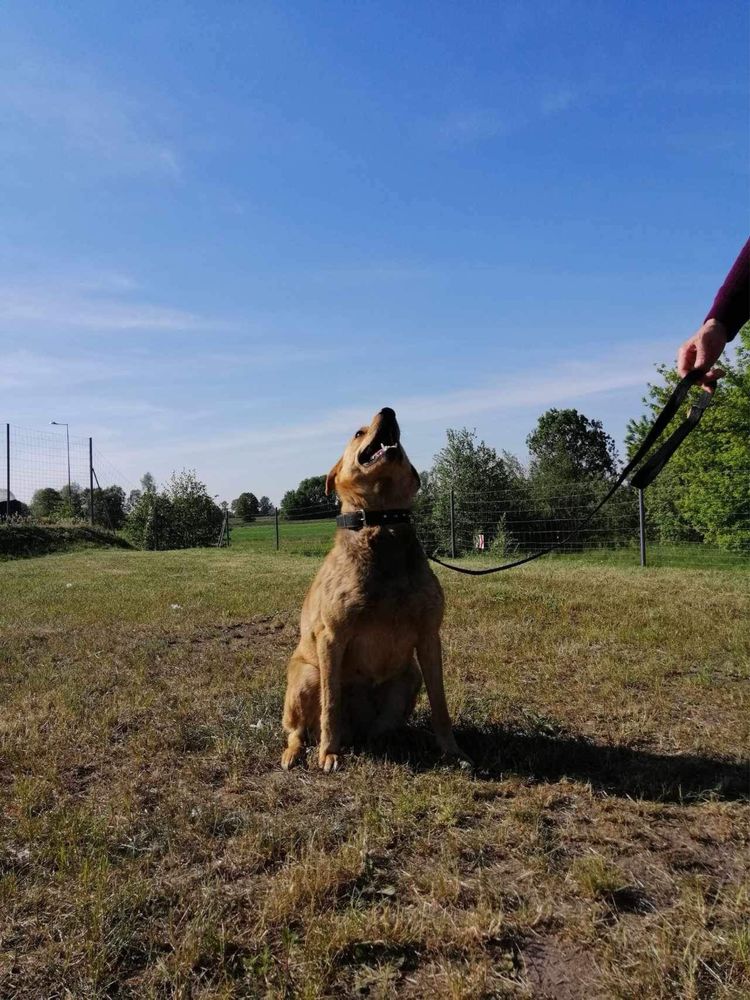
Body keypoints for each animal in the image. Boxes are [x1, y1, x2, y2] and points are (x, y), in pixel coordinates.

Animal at [284, 406, 470, 772]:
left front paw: (452, 750)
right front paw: (328, 753)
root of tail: (356, 734)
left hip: (408, 676)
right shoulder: (332, 637)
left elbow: (440, 704)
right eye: (359, 433)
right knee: (299, 729)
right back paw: (297, 752)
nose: (388, 410)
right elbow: (330, 706)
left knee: (382, 729)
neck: (382, 522)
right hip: (306, 676)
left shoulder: (430, 636)